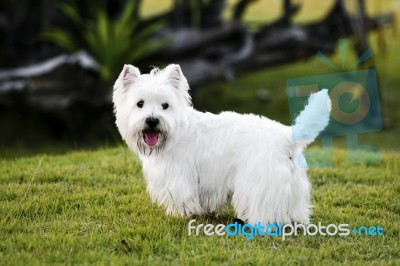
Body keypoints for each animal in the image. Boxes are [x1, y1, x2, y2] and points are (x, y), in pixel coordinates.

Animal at [113, 64, 332, 224]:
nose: (152, 121)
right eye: (140, 103)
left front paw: (180, 215)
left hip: (259, 183)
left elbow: (182, 199)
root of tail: (287, 136)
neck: (175, 132)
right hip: (293, 187)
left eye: (165, 105)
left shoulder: (179, 177)